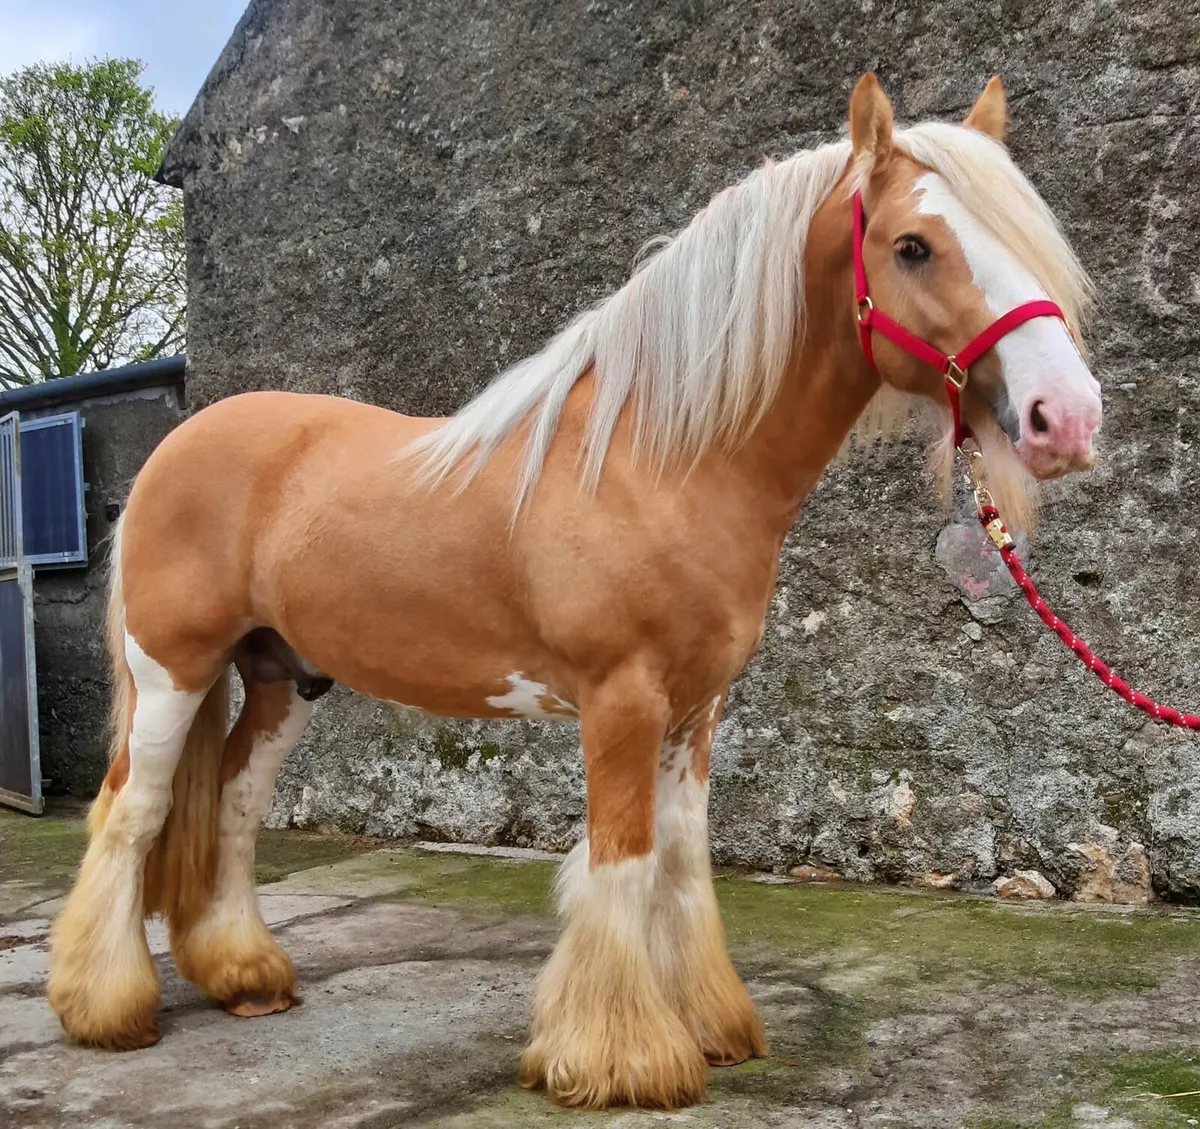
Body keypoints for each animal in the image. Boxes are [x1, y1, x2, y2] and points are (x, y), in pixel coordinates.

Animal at [47, 72, 1102, 1110]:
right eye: (912, 245)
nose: (1067, 416)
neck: (663, 459)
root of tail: (177, 446)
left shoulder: (697, 708)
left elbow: (681, 860)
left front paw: (709, 1024)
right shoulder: (621, 698)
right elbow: (623, 861)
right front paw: (623, 1057)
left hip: (283, 677)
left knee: (232, 803)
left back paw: (245, 976)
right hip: (174, 670)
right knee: (131, 810)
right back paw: (105, 1008)